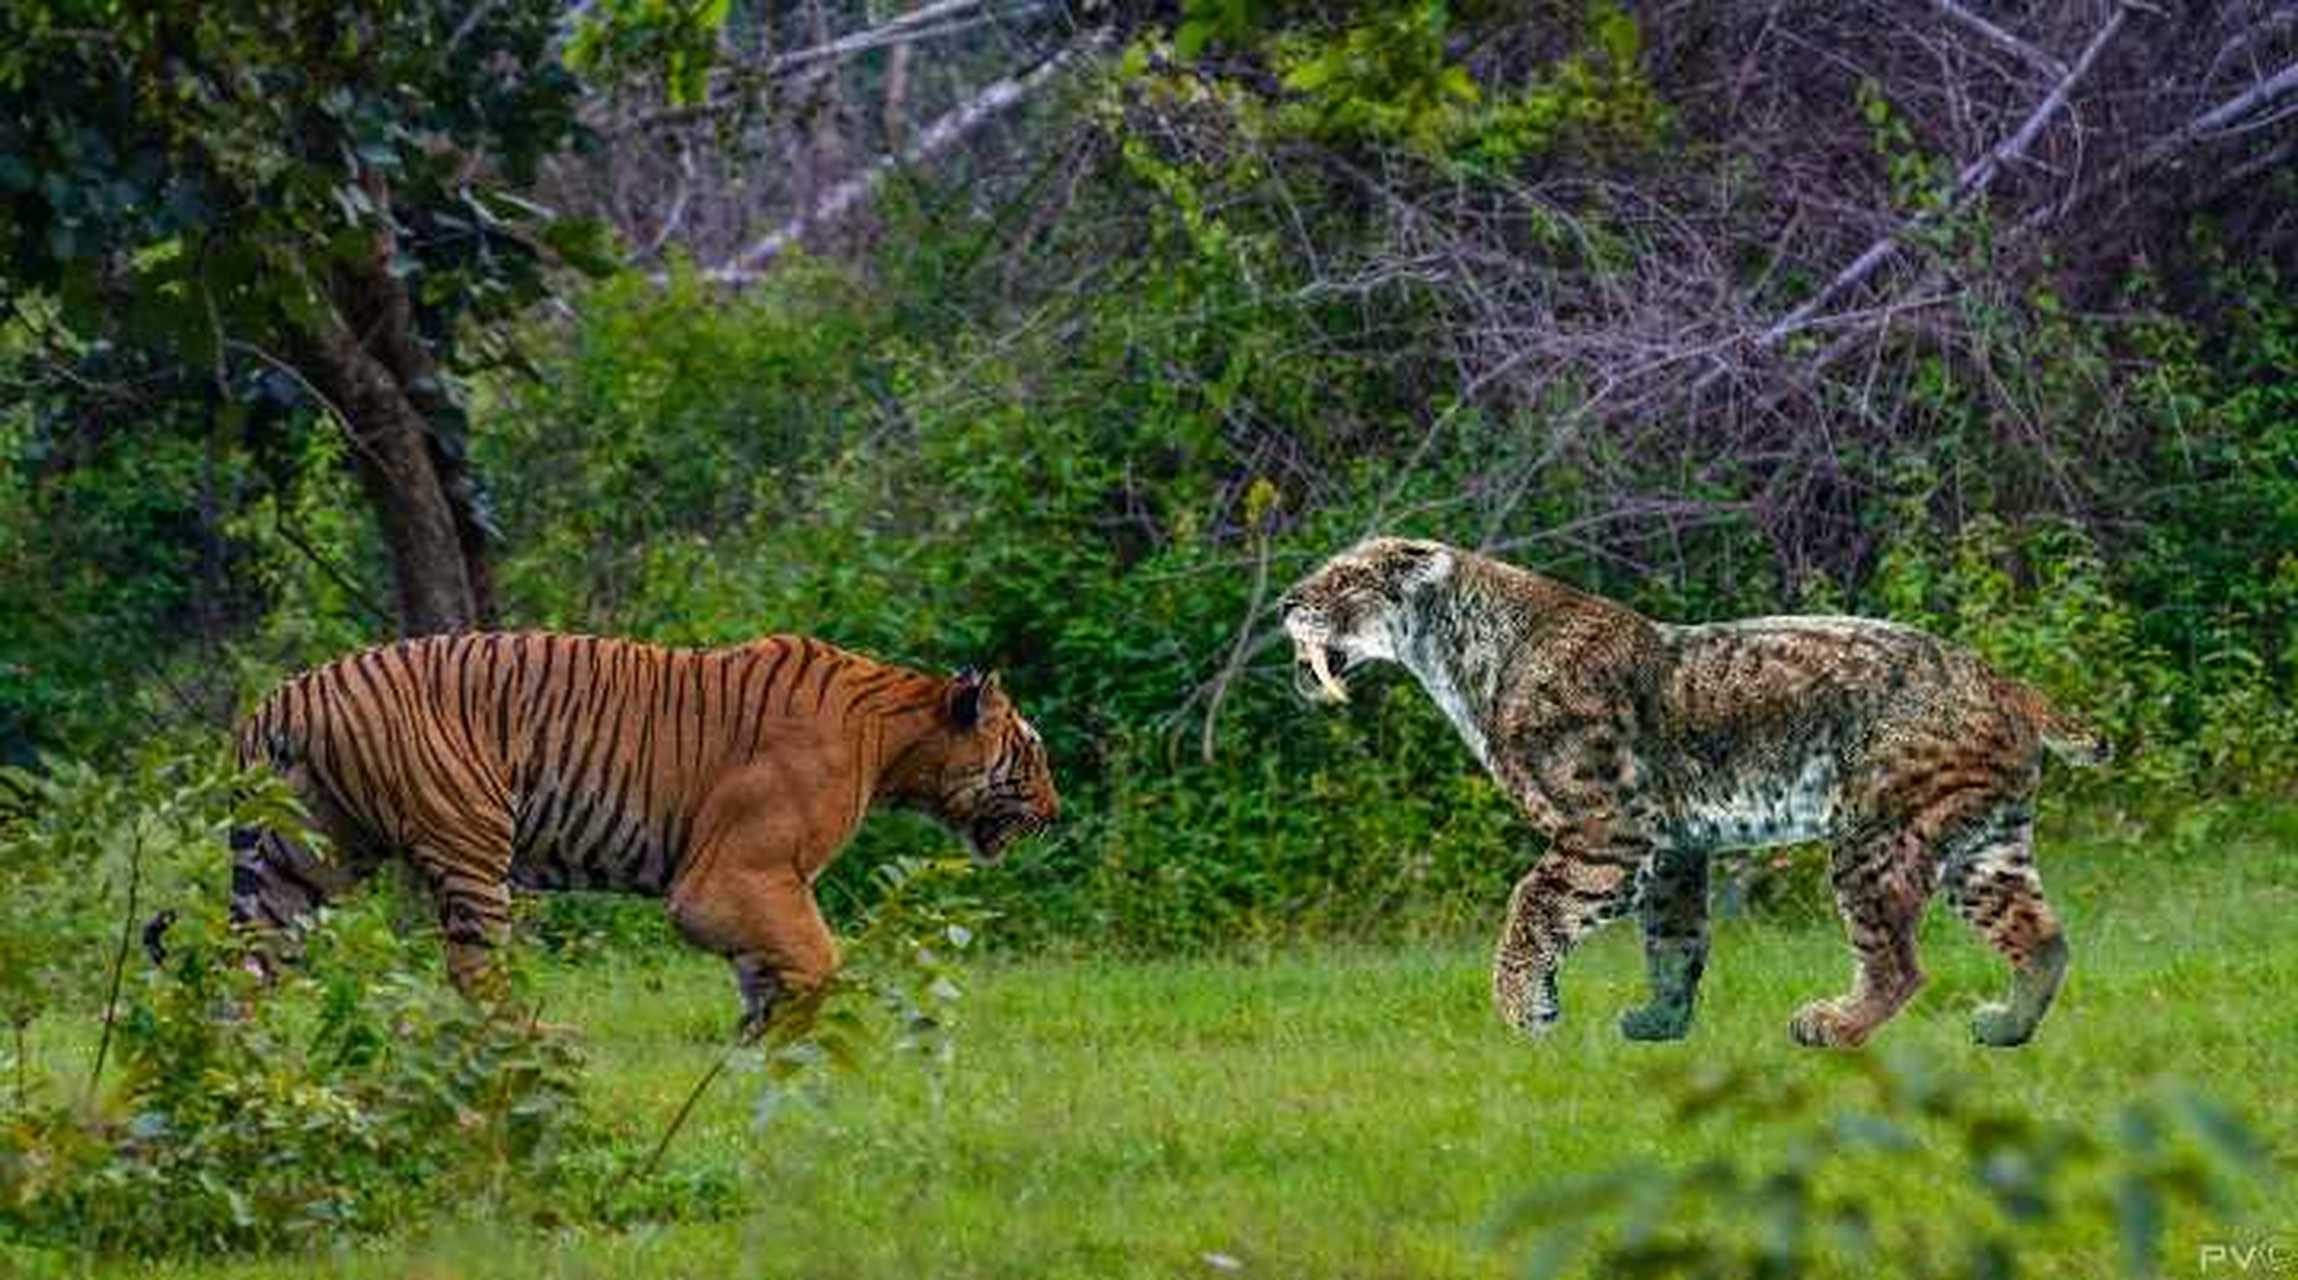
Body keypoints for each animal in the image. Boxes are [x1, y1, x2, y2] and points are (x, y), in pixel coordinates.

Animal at [199, 629, 1057, 1029]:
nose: (1057, 814)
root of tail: (287, 697)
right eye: (1032, 751)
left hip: (304, 859)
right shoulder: (736, 878)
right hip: (469, 835)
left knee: (248, 966)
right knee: (476, 968)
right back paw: (536, 1040)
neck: (894, 736)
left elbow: (768, 970)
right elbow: (820, 960)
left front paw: (756, 1054)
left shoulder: (755, 892)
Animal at [1286, 533, 2104, 1043]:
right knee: (2045, 939)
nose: (1287, 602)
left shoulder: (1608, 833)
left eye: (1345, 580)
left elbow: (1532, 909)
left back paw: (1833, 1027)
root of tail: (2000, 677)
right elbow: (1673, 941)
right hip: (1984, 847)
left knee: (1902, 963)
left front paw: (1523, 1019)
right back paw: (2005, 1030)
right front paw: (1660, 1025)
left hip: (1874, 838)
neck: (1457, 655)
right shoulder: (1673, 848)